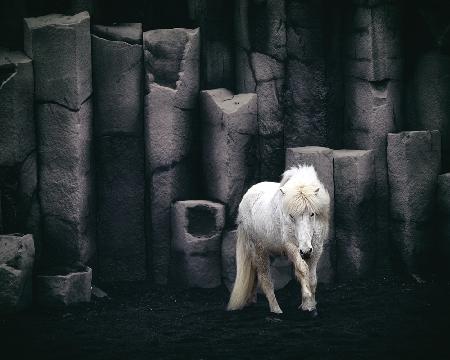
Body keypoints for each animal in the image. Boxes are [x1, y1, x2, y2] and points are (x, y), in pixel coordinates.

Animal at [227, 165, 328, 314]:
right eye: (291, 216)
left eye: (312, 214)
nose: (305, 251)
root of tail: (247, 195)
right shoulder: (291, 247)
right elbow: (303, 270)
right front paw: (308, 300)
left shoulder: (316, 249)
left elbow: (312, 278)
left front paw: (309, 304)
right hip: (259, 250)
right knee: (265, 278)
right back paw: (276, 309)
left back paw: (251, 300)